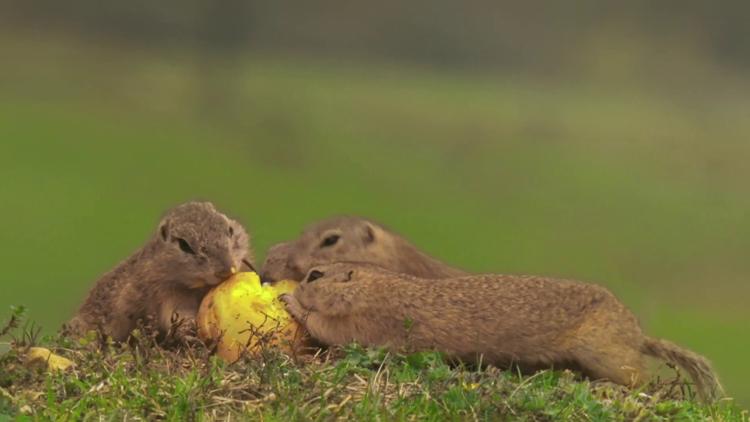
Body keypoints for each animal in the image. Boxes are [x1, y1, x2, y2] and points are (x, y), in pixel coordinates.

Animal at [68, 202, 256, 342]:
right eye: (184, 245)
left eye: (230, 230)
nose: (225, 269)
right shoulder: (167, 293)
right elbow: (177, 314)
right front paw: (189, 332)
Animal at [280, 262, 724, 400]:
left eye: (315, 275)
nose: (298, 284)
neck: (371, 285)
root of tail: (637, 334)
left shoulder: (366, 321)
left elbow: (327, 327)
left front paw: (290, 301)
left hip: (605, 353)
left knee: (639, 378)